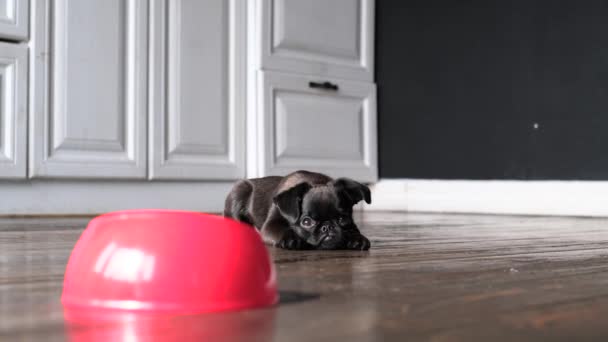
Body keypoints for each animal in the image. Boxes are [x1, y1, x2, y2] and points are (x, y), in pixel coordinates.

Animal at [223, 170, 370, 250]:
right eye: (306, 222)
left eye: (342, 219)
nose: (327, 227)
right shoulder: (271, 225)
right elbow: (281, 229)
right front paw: (291, 238)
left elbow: (354, 230)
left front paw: (358, 238)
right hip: (240, 190)